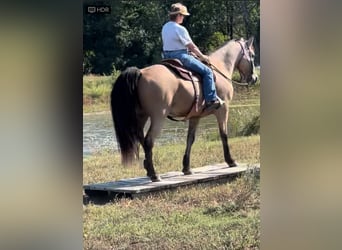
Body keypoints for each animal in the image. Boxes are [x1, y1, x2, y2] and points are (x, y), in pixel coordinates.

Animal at [111, 36, 258, 182]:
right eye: (252, 55)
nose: (254, 78)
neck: (220, 67)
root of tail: (141, 73)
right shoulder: (223, 110)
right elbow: (224, 134)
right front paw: (230, 161)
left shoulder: (195, 116)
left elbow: (190, 139)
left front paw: (186, 168)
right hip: (158, 116)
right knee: (148, 141)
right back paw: (154, 174)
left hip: (142, 116)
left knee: (141, 138)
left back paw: (148, 168)